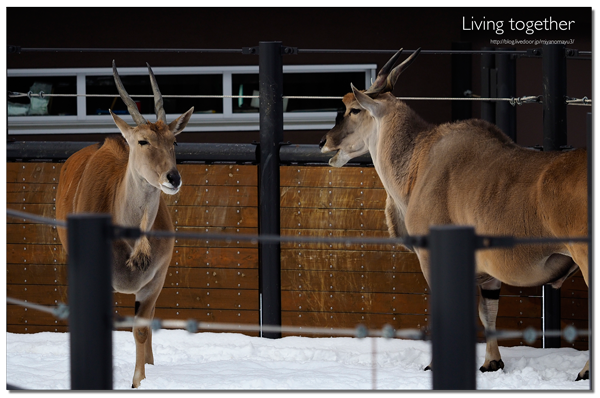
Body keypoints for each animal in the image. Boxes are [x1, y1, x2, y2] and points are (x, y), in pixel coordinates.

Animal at [55, 62, 193, 388]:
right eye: (143, 141)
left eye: (174, 141)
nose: (173, 178)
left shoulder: (155, 282)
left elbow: (141, 329)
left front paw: (139, 380)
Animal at [322, 48, 588, 380]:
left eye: (354, 109)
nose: (324, 142)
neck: (420, 159)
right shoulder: (487, 273)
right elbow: (487, 313)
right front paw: (491, 362)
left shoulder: (431, 256)